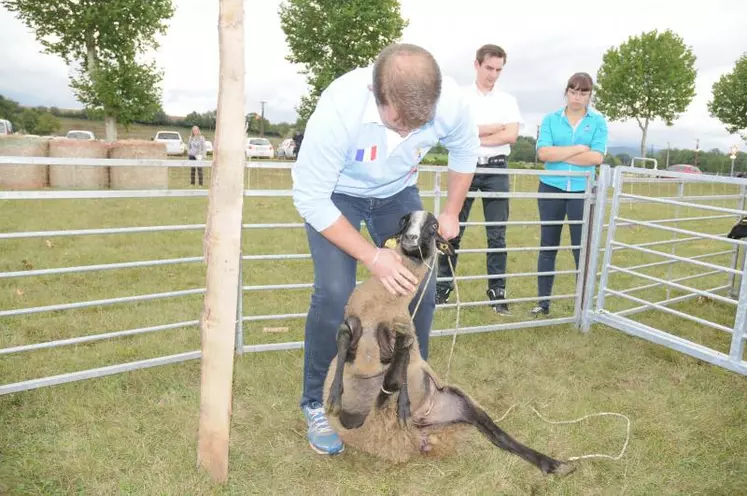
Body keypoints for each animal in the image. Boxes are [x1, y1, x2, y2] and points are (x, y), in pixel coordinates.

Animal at [324, 209, 576, 476]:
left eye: (433, 226)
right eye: (404, 220)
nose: (410, 238)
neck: (381, 308)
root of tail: (421, 430)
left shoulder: (393, 343)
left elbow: (401, 364)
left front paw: (403, 401)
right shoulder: (353, 325)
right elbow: (345, 335)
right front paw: (333, 398)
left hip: (460, 403)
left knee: (497, 435)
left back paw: (554, 464)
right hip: (368, 419)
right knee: (389, 382)